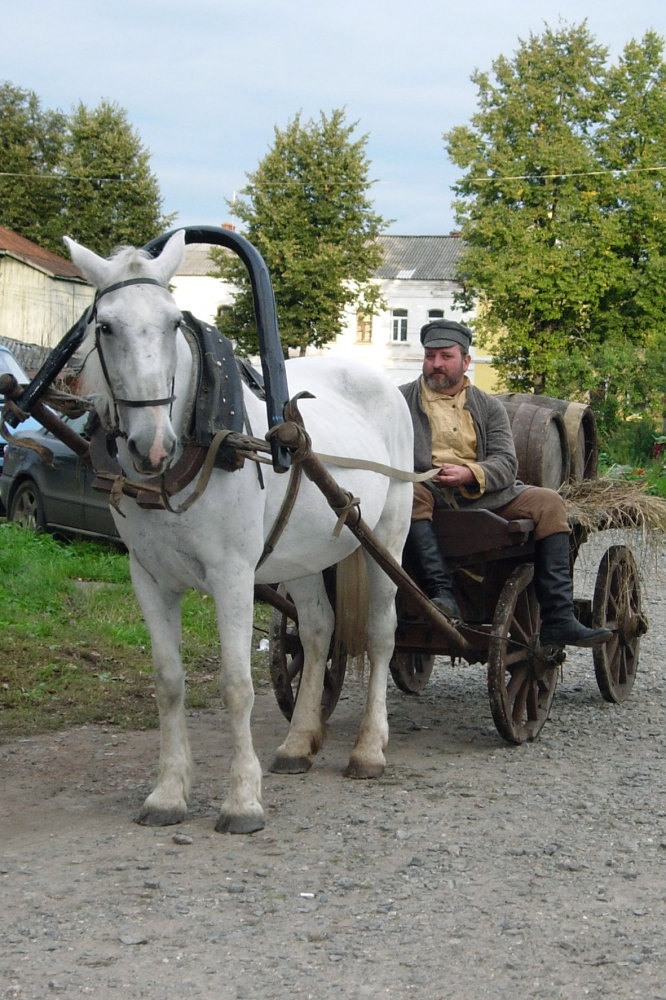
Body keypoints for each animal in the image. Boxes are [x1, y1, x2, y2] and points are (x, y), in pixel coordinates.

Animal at [65, 230, 412, 832]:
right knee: (317, 630)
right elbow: (169, 681)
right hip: (303, 551)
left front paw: (243, 800)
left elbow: (235, 684)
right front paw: (168, 793)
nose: (151, 446)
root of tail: (387, 385)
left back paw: (369, 749)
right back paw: (298, 742)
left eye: (172, 323)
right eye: (104, 326)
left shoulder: (232, 576)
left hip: (386, 539)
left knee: (380, 634)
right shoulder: (148, 577)